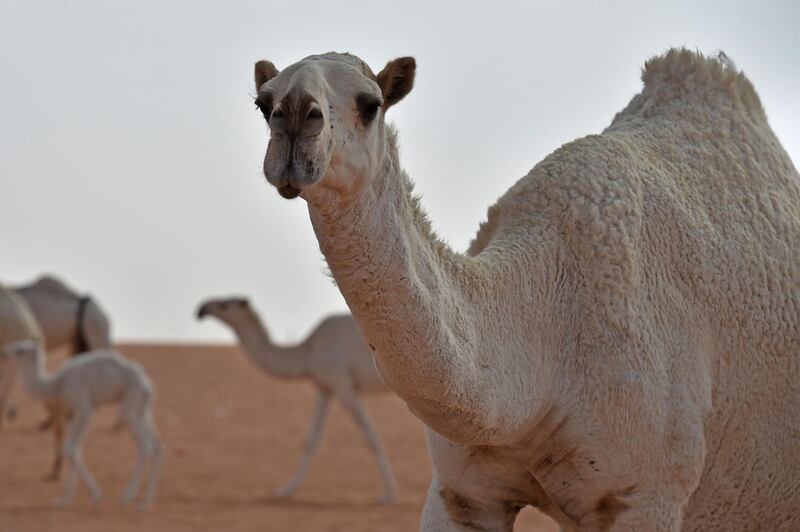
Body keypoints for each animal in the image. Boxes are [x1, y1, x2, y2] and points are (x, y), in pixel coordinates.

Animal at [0, 338, 164, 510]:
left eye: (21, 351)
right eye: (15, 344)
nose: (4, 353)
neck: (58, 382)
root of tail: (147, 384)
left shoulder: (83, 409)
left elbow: (71, 449)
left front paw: (96, 495)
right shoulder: (72, 415)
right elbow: (72, 450)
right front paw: (64, 500)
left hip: (131, 403)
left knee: (145, 446)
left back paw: (130, 497)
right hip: (143, 407)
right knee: (157, 446)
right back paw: (146, 500)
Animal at [197, 298, 396, 504]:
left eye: (225, 304)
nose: (201, 309)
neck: (308, 352)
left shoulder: (343, 384)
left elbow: (371, 437)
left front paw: (388, 494)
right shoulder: (324, 387)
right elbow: (311, 439)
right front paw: (286, 490)